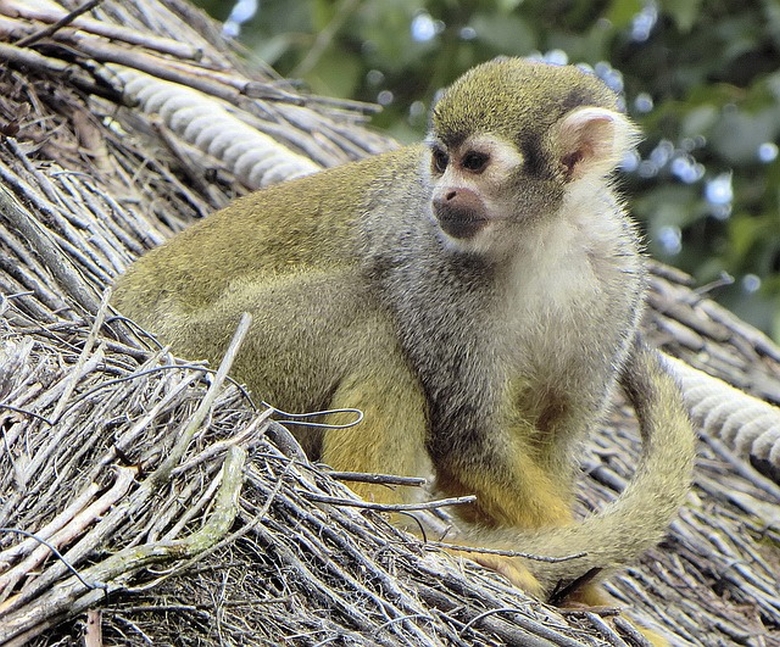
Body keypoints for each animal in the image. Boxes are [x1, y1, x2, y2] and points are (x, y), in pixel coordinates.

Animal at [111, 59, 696, 616]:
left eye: (474, 162)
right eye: (440, 160)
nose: (444, 192)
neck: (542, 239)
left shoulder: (617, 273)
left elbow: (552, 437)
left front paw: (580, 586)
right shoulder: (435, 267)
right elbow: (468, 439)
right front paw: (552, 564)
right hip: (213, 353)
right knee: (377, 324)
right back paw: (374, 509)